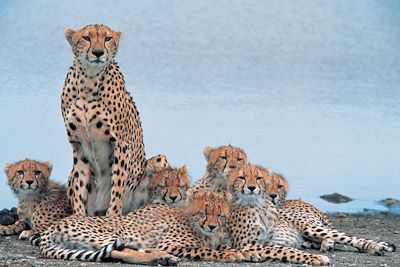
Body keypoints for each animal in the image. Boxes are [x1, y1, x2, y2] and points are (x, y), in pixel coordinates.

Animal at [32, 192, 244, 264]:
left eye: (220, 215)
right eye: (204, 212)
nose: (212, 226)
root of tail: (51, 228)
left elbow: (221, 246)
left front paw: (244, 252)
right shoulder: (170, 244)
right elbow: (205, 250)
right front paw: (231, 255)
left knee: (116, 252)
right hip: (109, 234)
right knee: (122, 250)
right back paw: (161, 258)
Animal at [61, 24, 145, 218]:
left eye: (107, 38)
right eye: (86, 38)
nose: (98, 52)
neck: (88, 81)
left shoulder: (121, 144)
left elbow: (118, 183)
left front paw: (113, 214)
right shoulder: (78, 145)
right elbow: (80, 185)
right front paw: (78, 215)